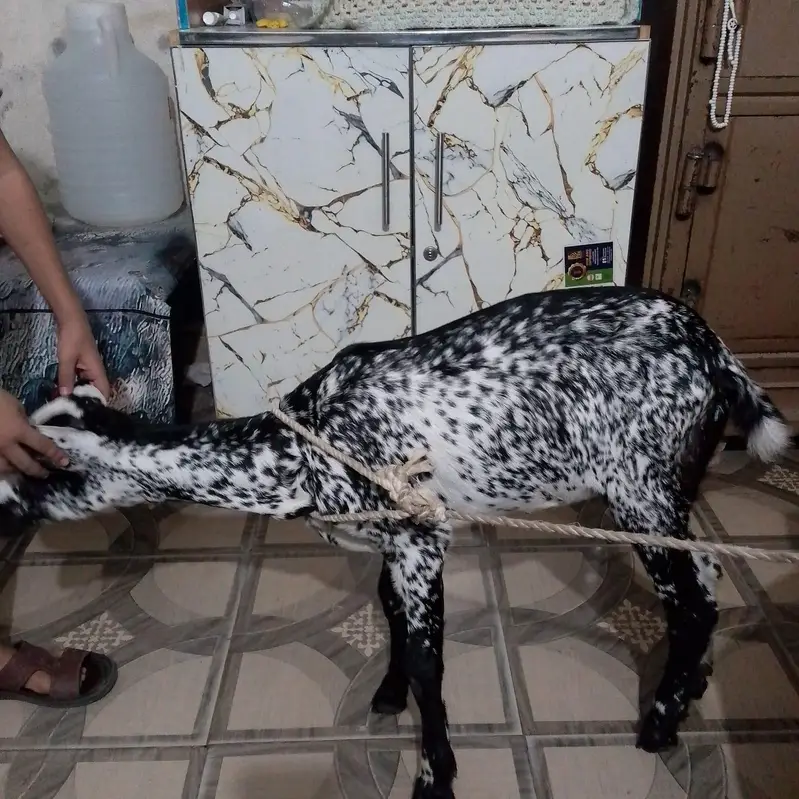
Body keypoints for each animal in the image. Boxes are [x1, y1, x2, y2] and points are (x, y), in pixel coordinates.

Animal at [0, 285, 791, 799]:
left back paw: (658, 725)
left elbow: (425, 654)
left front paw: (434, 774)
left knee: (690, 600)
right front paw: (385, 695)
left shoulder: (421, 535)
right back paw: (692, 686)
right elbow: (388, 615)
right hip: (673, 486)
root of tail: (714, 351)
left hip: (637, 488)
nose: (7, 506)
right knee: (708, 573)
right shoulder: (388, 543)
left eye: (42, 464)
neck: (299, 451)